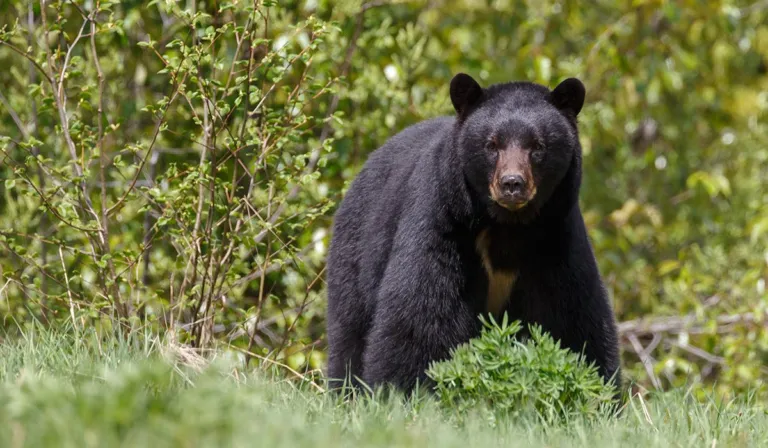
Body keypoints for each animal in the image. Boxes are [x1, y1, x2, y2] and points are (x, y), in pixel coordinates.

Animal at [325, 73, 621, 393]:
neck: (508, 225)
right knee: (350, 330)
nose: (512, 184)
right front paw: (402, 390)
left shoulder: (555, 238)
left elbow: (572, 316)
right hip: (357, 251)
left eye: (537, 146)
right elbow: (422, 312)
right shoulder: (444, 222)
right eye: (492, 145)